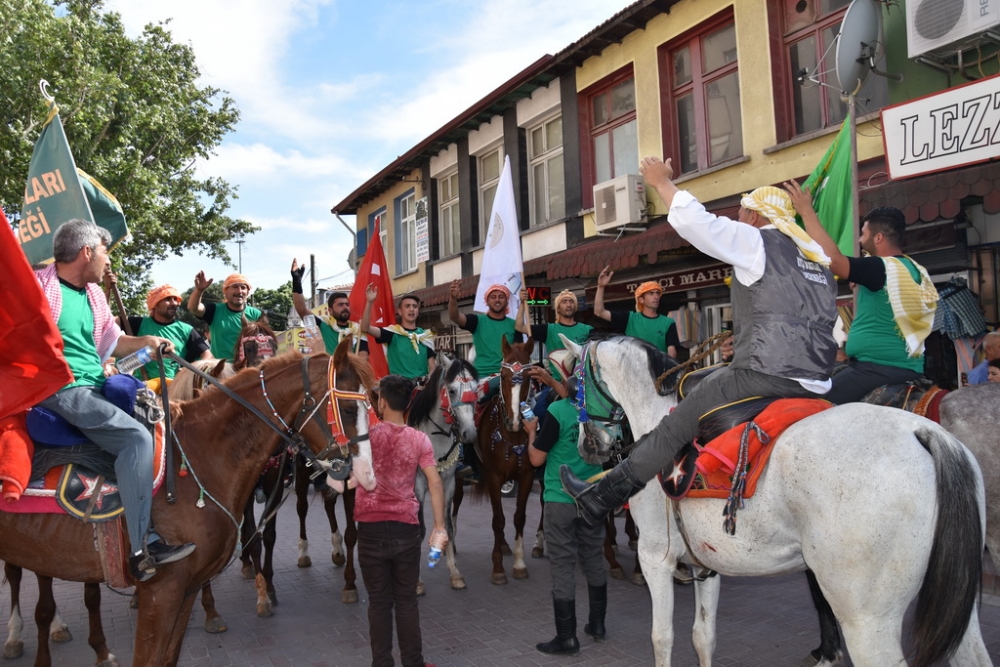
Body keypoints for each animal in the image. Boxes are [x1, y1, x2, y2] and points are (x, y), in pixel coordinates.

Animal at [0, 344, 374, 667]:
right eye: (349, 409)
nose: (367, 476)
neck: (200, 456)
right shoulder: (160, 591)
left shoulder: (186, 588)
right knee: (23, 583)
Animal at [410, 352, 480, 592]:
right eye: (451, 390)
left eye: (476, 388)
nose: (469, 433)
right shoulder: (418, 485)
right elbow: (419, 529)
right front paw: (416, 581)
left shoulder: (448, 483)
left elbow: (448, 526)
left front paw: (455, 573)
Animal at [472, 340, 536, 584]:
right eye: (503, 375)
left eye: (528, 376)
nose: (515, 420)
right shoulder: (493, 477)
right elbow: (498, 520)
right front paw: (498, 567)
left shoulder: (527, 476)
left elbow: (519, 517)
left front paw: (519, 564)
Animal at [560, 336, 988, 667]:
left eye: (573, 382)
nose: (587, 446)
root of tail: (924, 433)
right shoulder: (706, 564)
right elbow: (703, 636)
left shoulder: (655, 558)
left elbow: (662, 638)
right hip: (957, 606)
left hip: (867, 620)